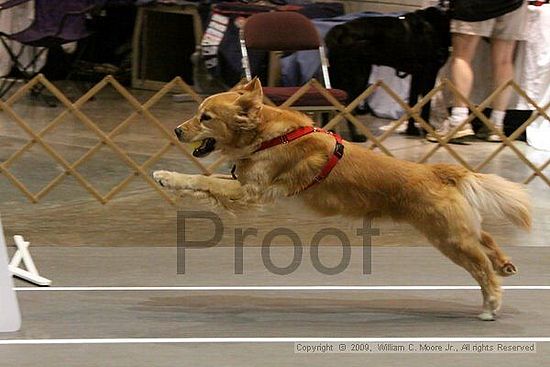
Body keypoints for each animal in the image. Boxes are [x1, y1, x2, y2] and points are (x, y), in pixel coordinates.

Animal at [153, 78, 532, 322]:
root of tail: (438, 171)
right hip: (456, 229)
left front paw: (166, 176)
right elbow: (206, 182)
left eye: (206, 117)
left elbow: (201, 178)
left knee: (481, 268)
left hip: (448, 237)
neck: (268, 135)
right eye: (197, 113)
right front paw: (171, 180)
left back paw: (491, 303)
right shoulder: (242, 185)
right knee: (485, 238)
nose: (177, 131)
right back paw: (505, 263)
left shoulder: (251, 192)